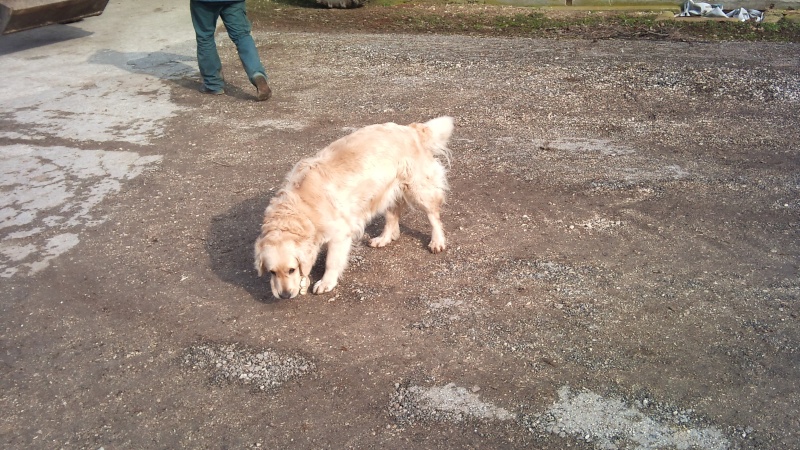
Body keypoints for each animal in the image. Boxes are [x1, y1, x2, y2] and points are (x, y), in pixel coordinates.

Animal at [256, 116, 456, 298]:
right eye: (272, 272)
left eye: (291, 269)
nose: (284, 295)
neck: (300, 208)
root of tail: (412, 129)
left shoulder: (340, 233)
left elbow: (331, 261)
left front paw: (326, 282)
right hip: (386, 191)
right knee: (392, 215)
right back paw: (384, 238)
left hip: (419, 189)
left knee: (433, 216)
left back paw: (437, 241)